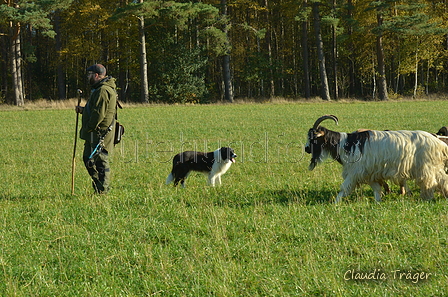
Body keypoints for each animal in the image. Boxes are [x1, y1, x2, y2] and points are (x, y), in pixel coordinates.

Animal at [306, 114, 448, 202]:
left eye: (313, 138)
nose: (307, 149)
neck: (346, 144)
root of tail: (439, 143)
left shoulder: (355, 172)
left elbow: (344, 188)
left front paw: (335, 203)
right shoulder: (370, 173)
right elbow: (376, 189)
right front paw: (378, 202)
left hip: (426, 167)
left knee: (430, 182)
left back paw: (427, 197)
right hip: (434, 167)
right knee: (442, 179)